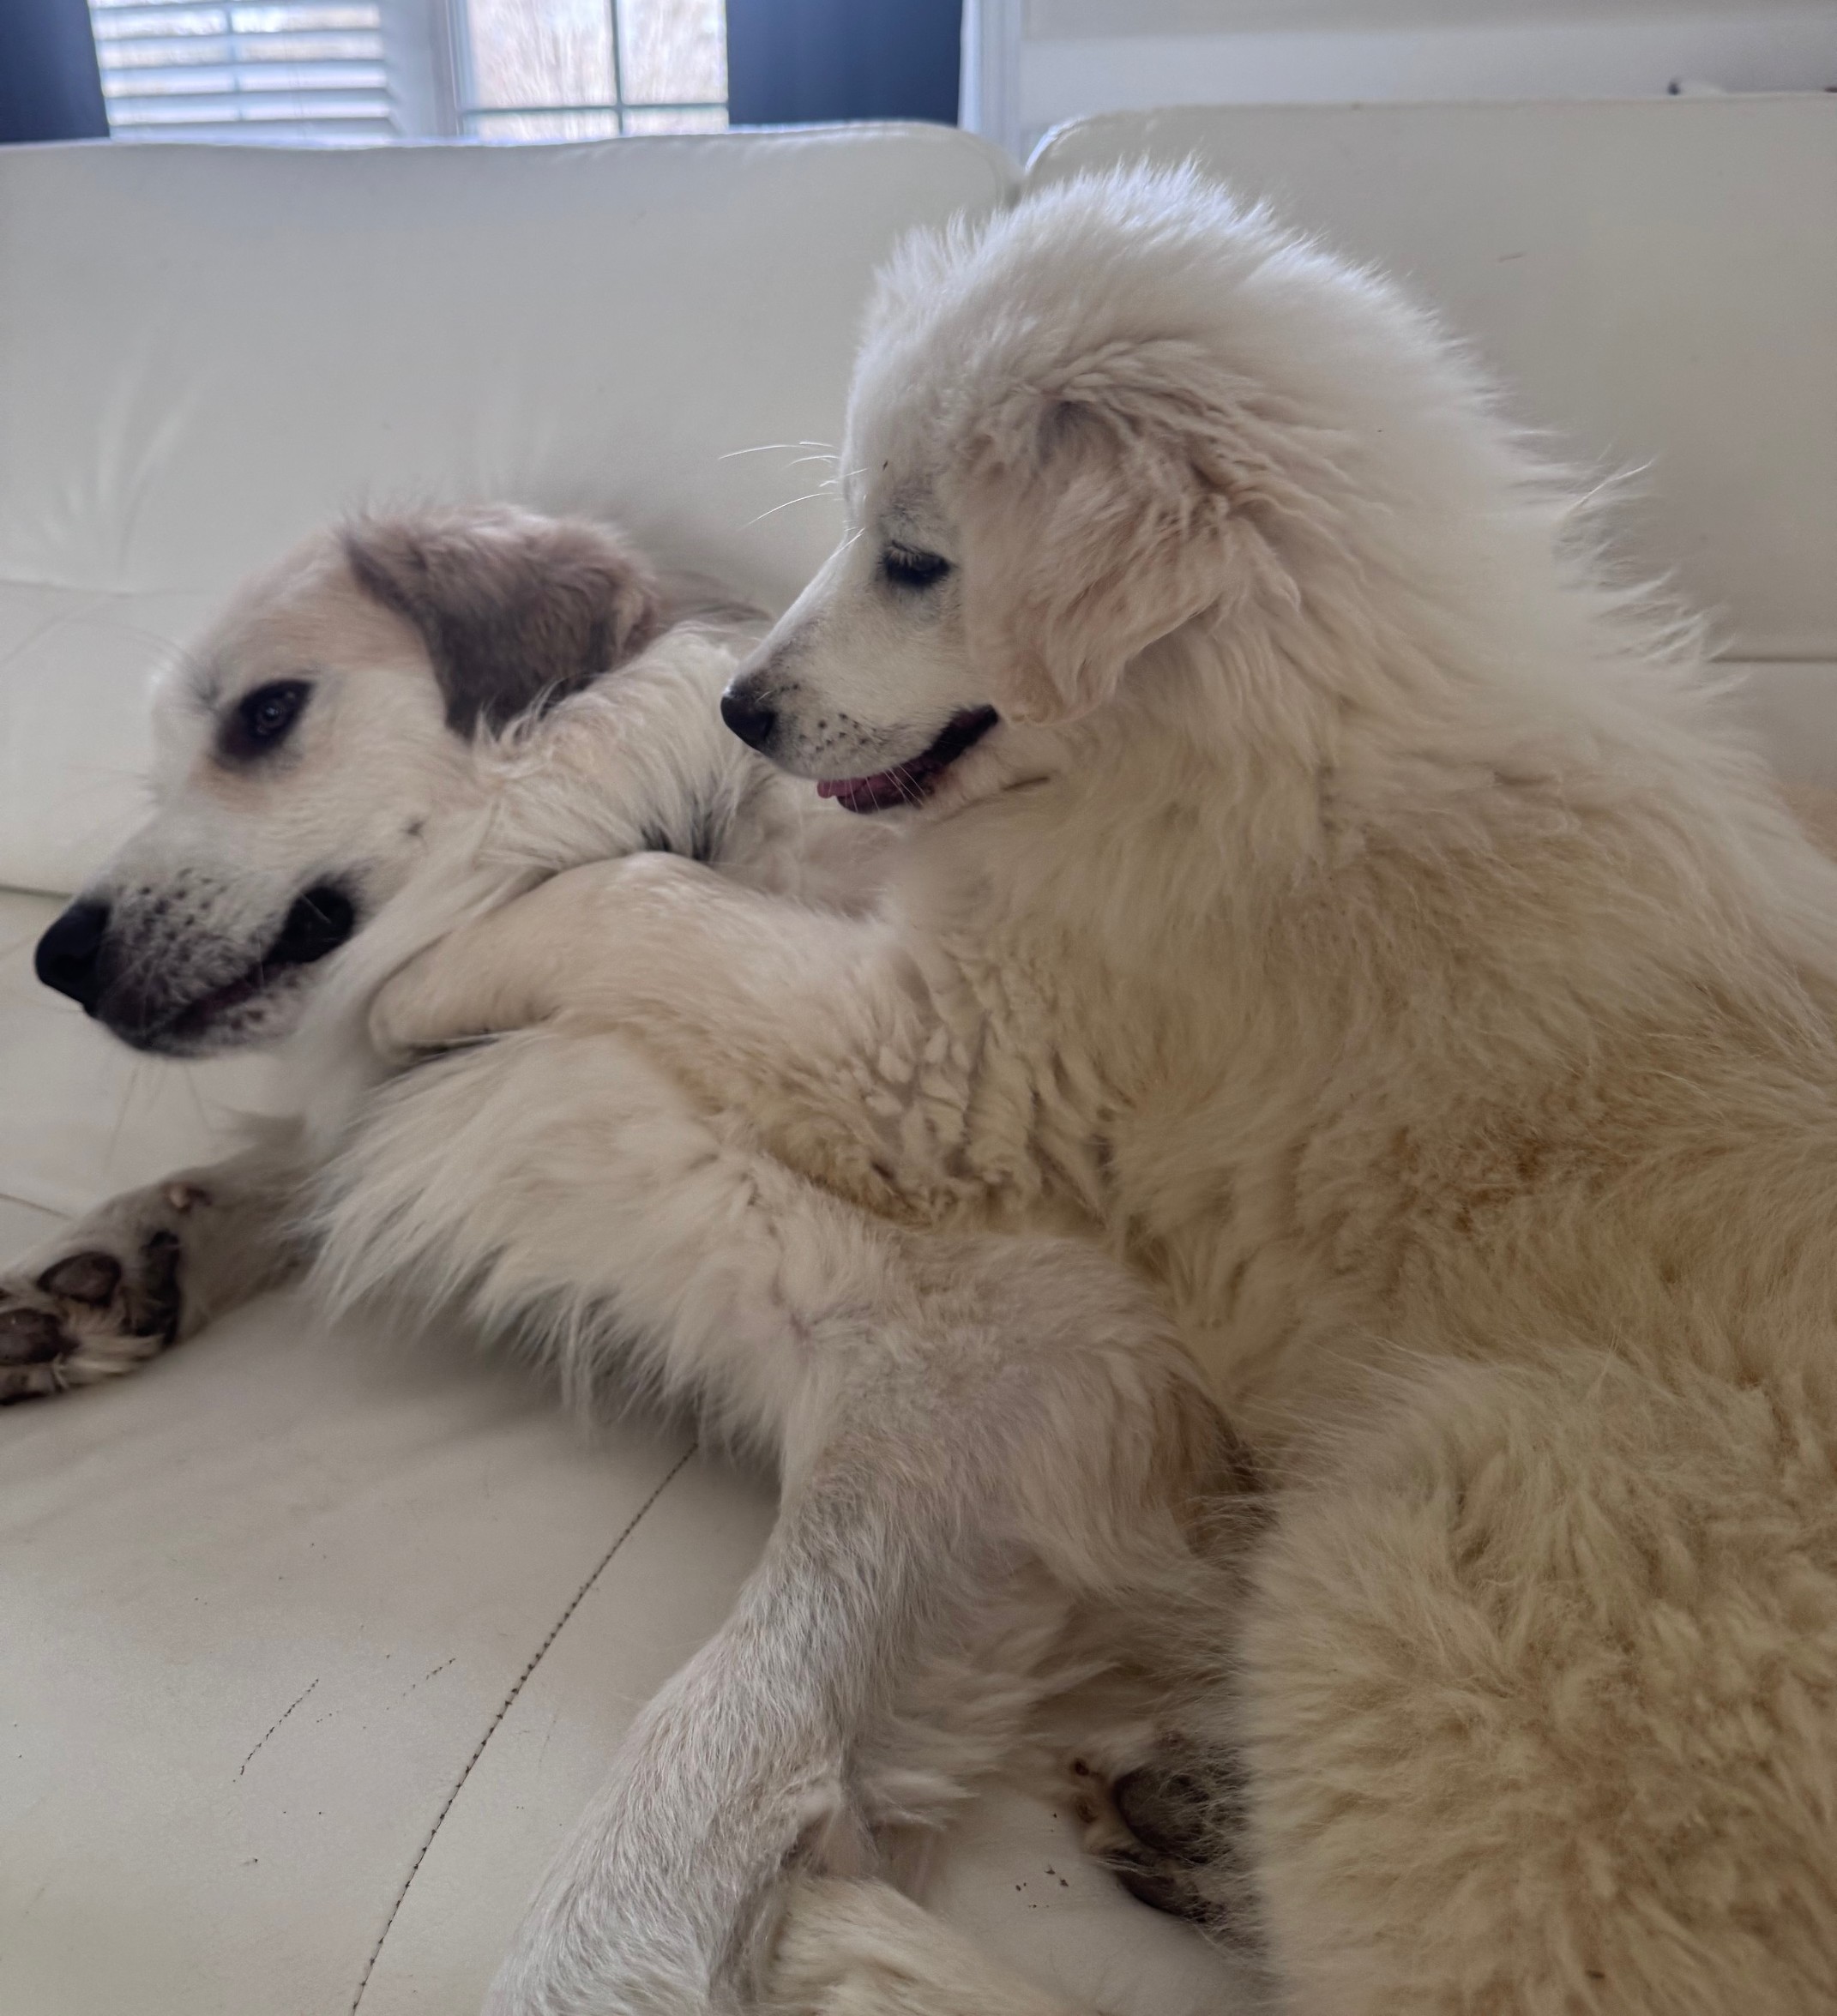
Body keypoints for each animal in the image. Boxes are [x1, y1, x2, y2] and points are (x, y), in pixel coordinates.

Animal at [3, 505, 1246, 2015]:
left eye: (265, 715)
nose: (55, 956)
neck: (648, 821)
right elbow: (320, 1134)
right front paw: (116, 1257)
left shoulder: (991, 1374)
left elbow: (717, 1727)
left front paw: (600, 1960)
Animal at [374, 169, 1837, 2016]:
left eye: (916, 559)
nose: (741, 704)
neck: (1254, 715)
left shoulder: (952, 1055)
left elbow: (645, 908)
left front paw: (428, 969)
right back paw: (1178, 1814)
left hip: (1401, 1576)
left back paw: (847, 1928)